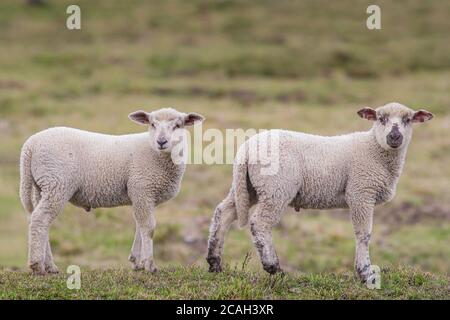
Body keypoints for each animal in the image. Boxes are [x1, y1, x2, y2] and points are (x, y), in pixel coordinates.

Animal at [19, 107, 204, 276]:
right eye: (152, 124)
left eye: (178, 125)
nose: (161, 141)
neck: (156, 153)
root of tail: (30, 146)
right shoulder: (142, 188)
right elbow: (148, 227)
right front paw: (149, 265)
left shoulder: (142, 195)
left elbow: (139, 225)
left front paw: (137, 261)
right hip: (57, 183)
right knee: (40, 219)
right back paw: (37, 266)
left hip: (42, 186)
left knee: (39, 221)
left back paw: (49, 266)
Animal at [207, 102, 432, 282]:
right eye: (381, 118)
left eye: (408, 120)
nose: (395, 136)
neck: (374, 148)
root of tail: (245, 149)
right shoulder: (361, 192)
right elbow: (364, 234)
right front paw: (365, 272)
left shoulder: (362, 193)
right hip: (276, 187)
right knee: (259, 223)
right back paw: (274, 268)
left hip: (248, 187)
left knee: (223, 212)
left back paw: (214, 263)